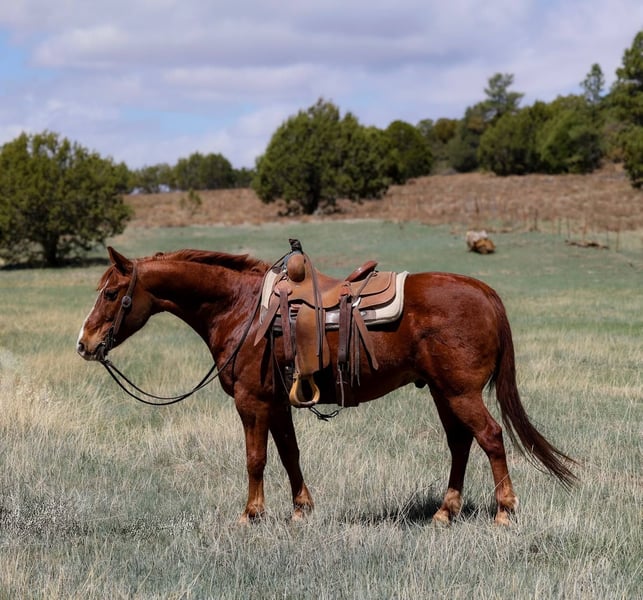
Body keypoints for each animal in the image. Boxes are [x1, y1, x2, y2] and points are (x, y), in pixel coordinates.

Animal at [77, 246, 576, 526]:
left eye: (110, 293)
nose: (84, 343)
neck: (241, 309)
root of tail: (484, 291)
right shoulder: (277, 403)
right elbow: (288, 454)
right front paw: (301, 509)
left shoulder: (251, 402)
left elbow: (255, 459)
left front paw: (250, 515)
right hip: (442, 391)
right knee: (460, 443)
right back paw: (445, 512)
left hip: (460, 392)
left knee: (490, 437)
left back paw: (505, 512)